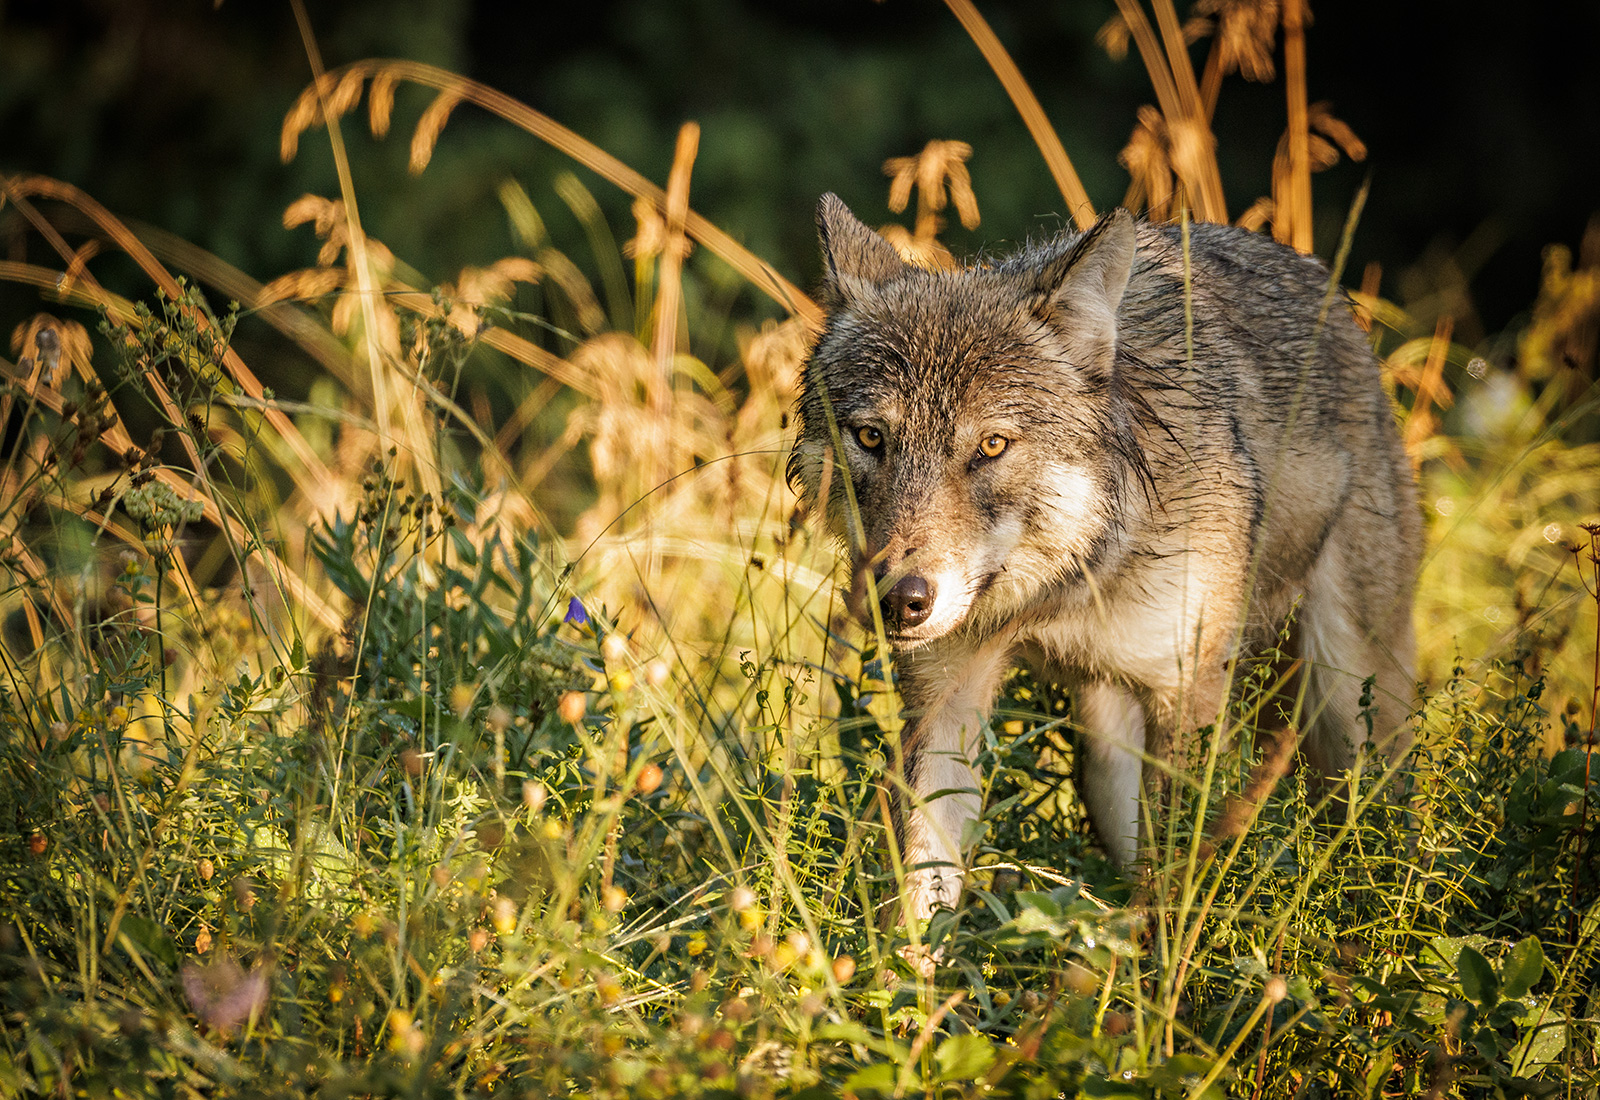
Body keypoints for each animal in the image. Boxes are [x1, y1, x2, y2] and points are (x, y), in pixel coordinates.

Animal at [787, 193, 1427, 920]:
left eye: (991, 446)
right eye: (871, 437)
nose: (899, 598)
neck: (1062, 586)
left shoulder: (1188, 693)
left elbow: (1172, 886)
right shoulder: (942, 700)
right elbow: (919, 894)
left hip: (1350, 707)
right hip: (1102, 749)